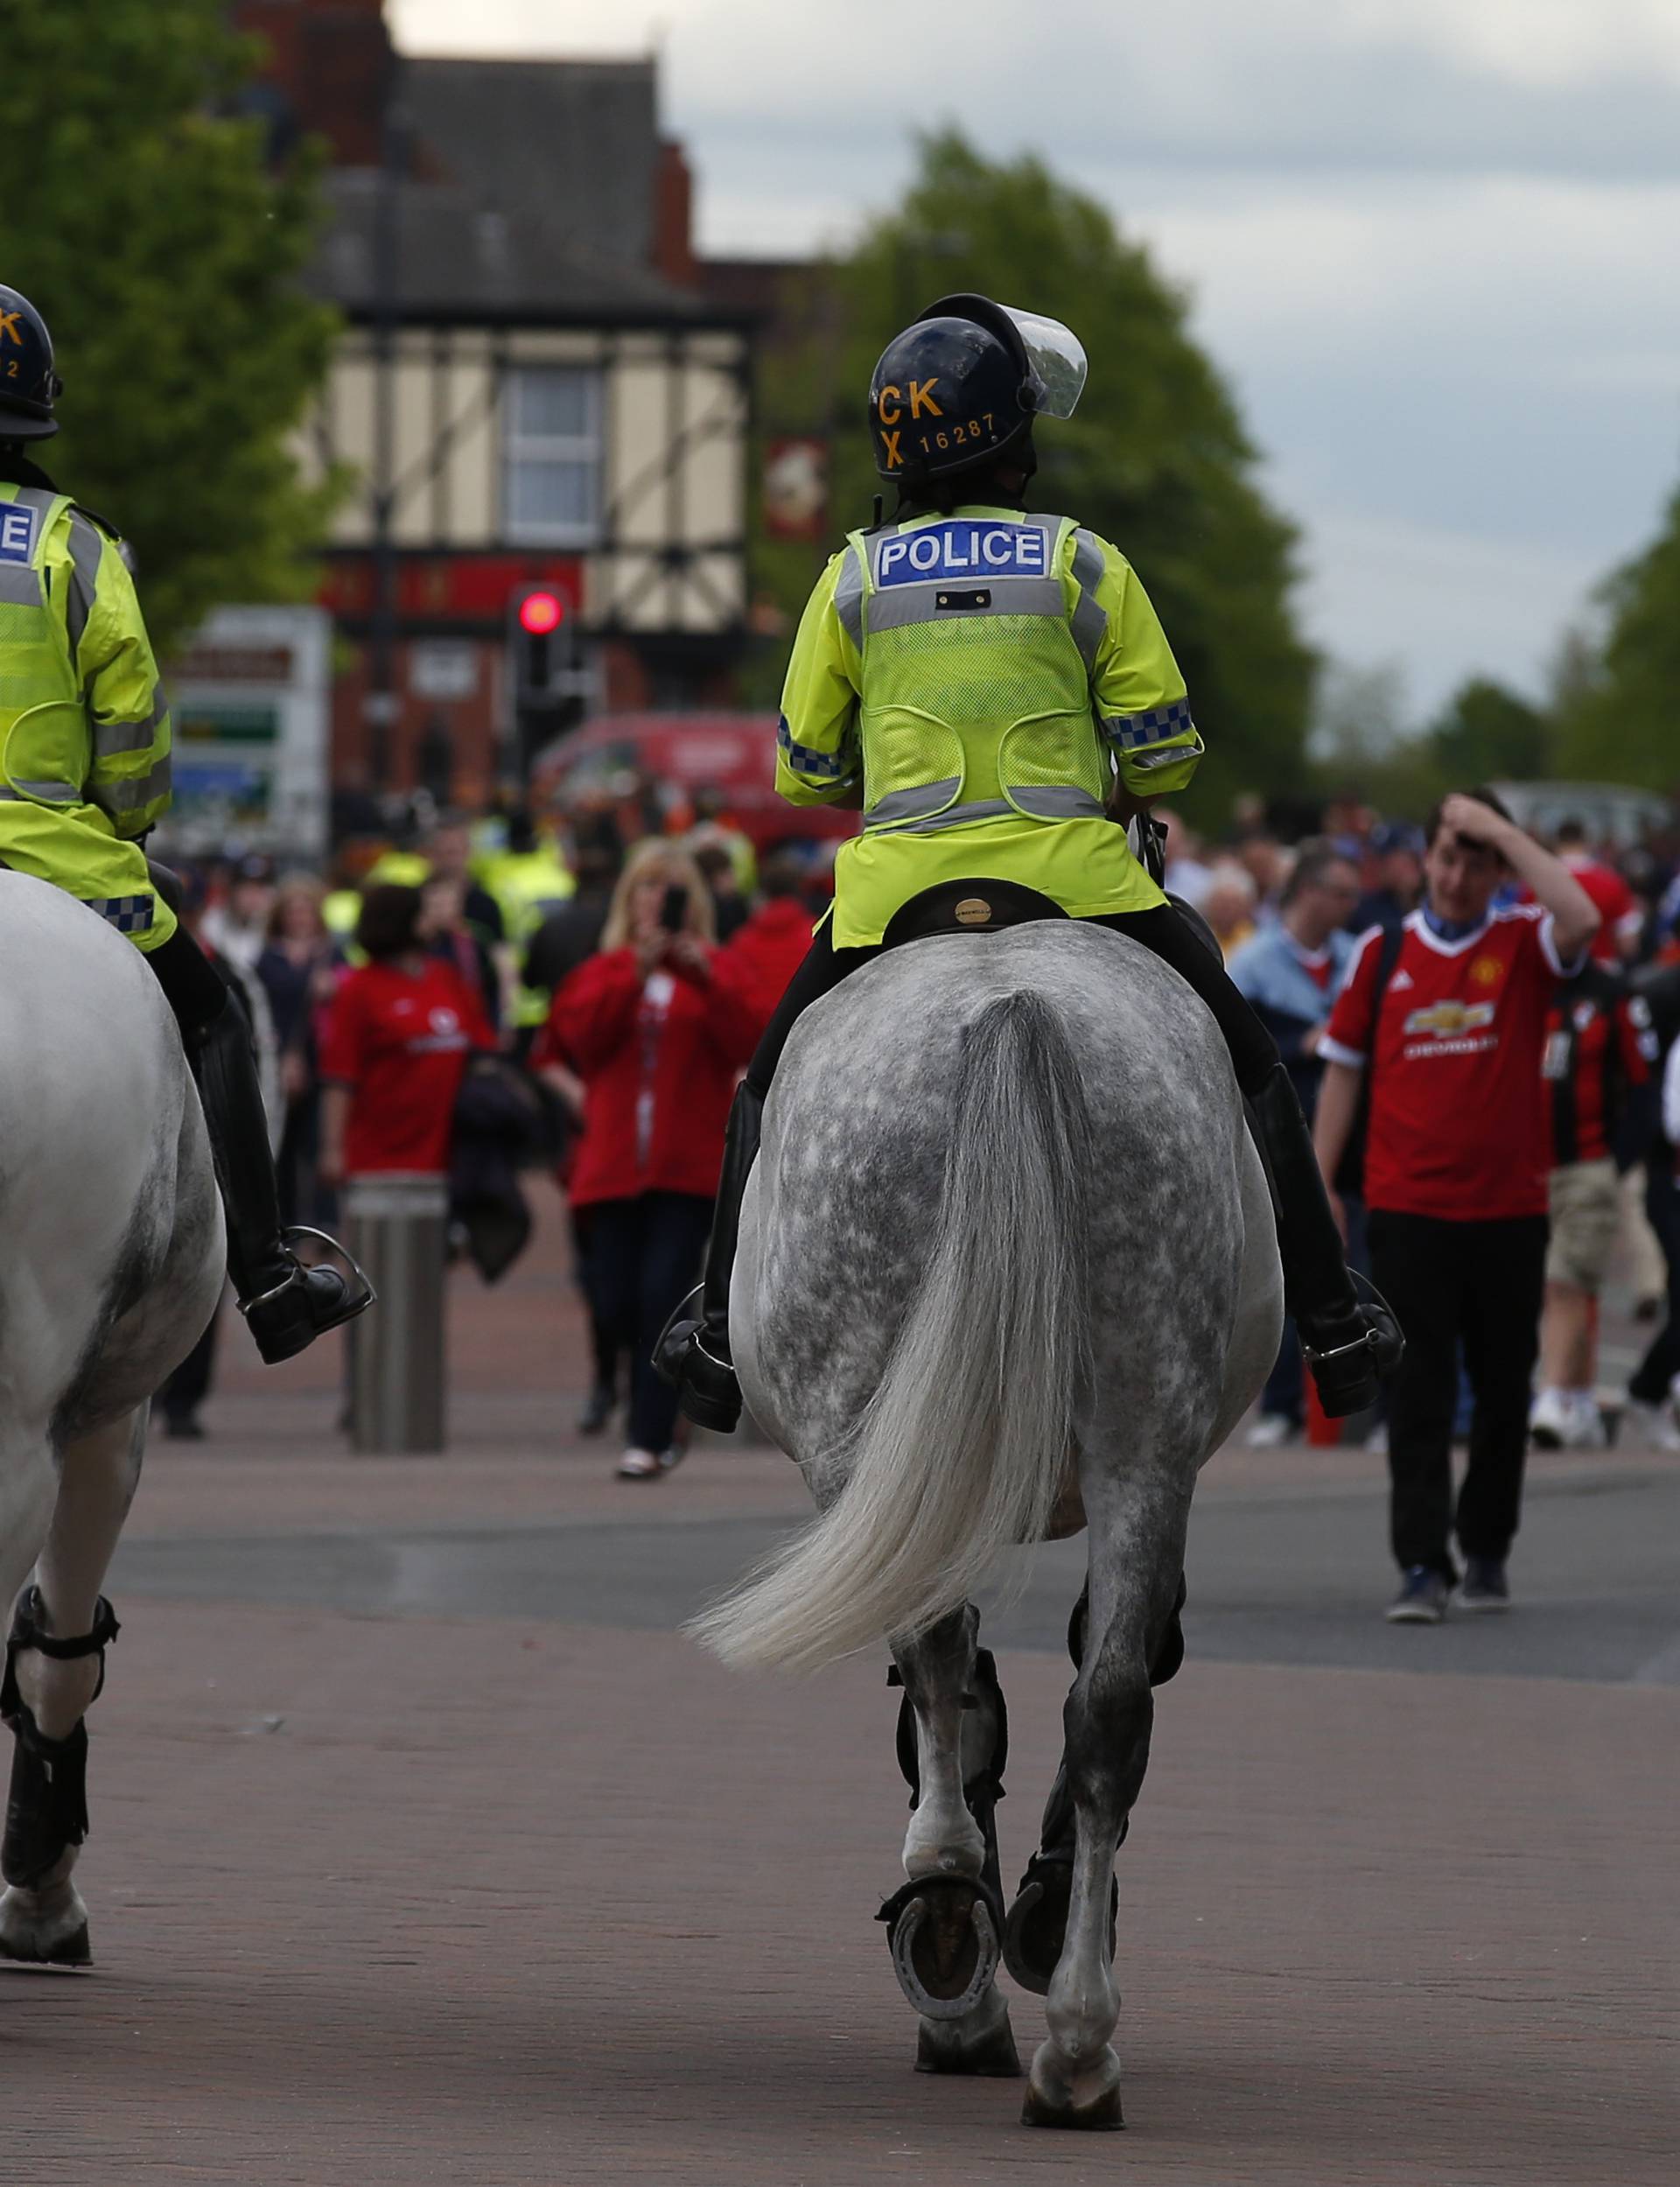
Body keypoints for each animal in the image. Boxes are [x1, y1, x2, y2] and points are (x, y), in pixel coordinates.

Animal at [691, 927, 1278, 2134]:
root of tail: (1010, 1003)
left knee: (953, 1662)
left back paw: (966, 1925)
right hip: (1141, 1441)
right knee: (1099, 1705)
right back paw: (1071, 2035)